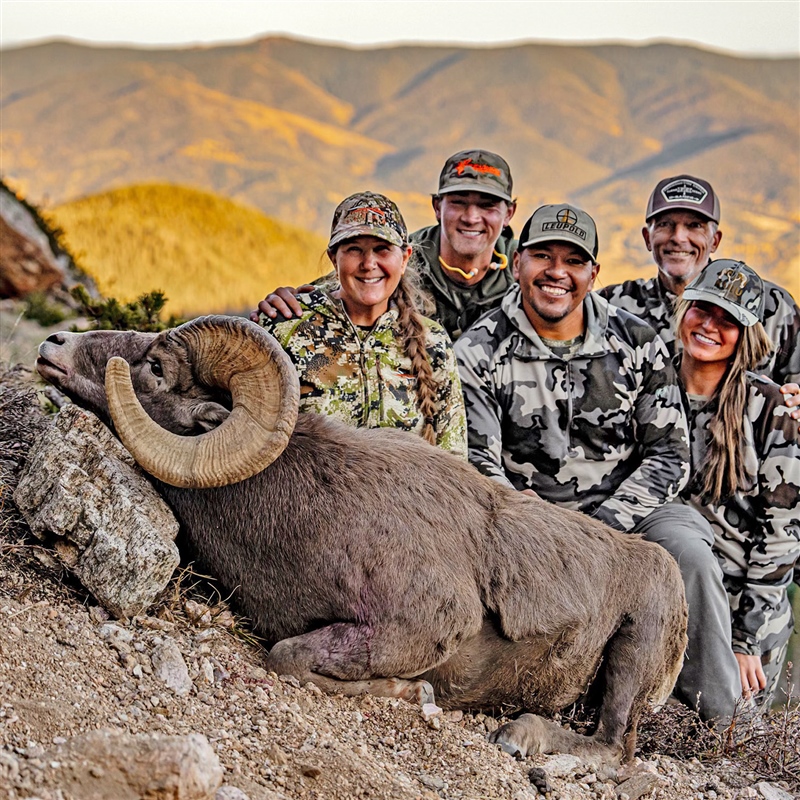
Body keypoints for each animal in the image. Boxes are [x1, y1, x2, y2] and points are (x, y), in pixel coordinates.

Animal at [36, 314, 687, 763]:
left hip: (632, 654)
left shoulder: (414, 628)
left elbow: (286, 656)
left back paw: (519, 735)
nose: (52, 346)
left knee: (613, 748)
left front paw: (414, 694)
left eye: (155, 369)